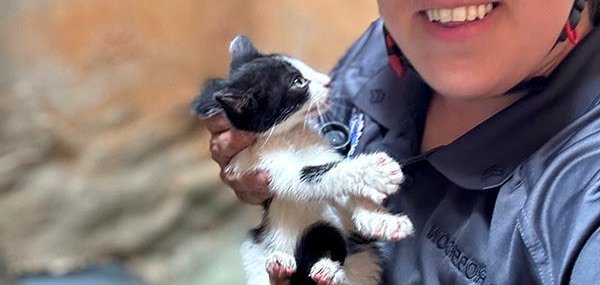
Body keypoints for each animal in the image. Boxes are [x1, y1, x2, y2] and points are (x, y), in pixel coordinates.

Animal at [192, 35, 412, 284]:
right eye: (298, 82)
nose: (328, 82)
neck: (290, 135)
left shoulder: (322, 153)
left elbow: (340, 184)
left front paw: (380, 219)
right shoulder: (270, 169)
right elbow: (322, 173)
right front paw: (374, 171)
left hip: (365, 259)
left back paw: (329, 271)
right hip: (254, 247)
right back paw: (280, 271)